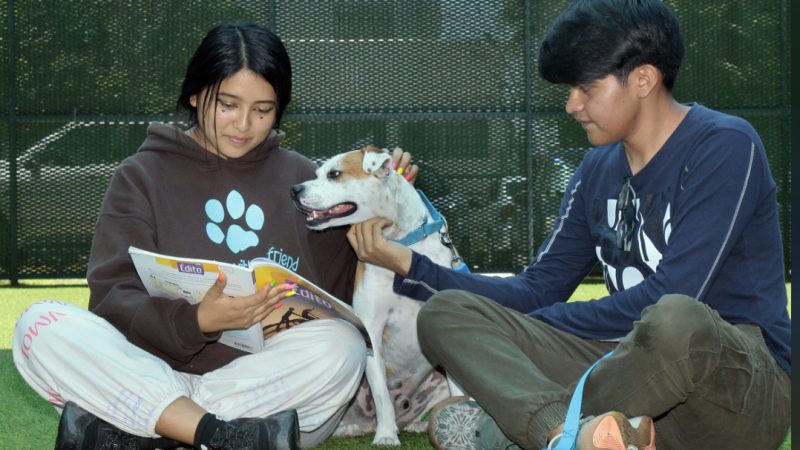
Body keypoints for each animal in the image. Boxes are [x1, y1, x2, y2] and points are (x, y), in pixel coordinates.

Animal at [292, 146, 462, 444]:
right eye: (317, 173)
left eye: (334, 174)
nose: (294, 189)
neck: (401, 244)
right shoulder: (371, 328)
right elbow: (382, 394)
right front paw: (385, 436)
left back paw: (419, 425)